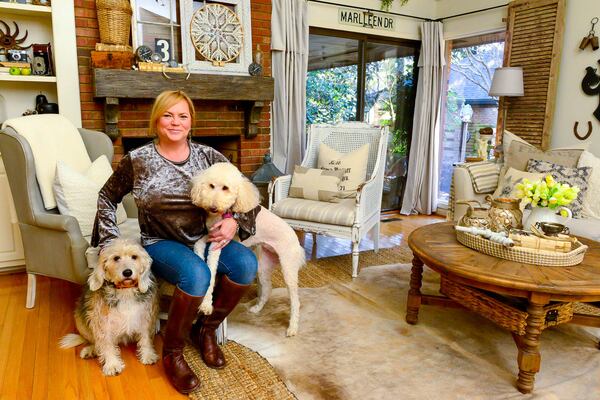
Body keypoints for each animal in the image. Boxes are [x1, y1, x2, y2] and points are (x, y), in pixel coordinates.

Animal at [59, 241, 159, 376]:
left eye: (134, 257)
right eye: (116, 258)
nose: (127, 272)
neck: (125, 291)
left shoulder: (144, 317)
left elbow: (145, 338)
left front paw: (147, 355)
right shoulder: (102, 322)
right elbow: (106, 344)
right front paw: (112, 364)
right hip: (80, 321)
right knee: (95, 342)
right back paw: (91, 350)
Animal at [192, 161, 304, 336]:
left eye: (225, 188)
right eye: (211, 185)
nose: (213, 207)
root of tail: (295, 240)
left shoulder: (218, 243)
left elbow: (211, 270)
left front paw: (206, 304)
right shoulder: (211, 235)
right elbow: (198, 245)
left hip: (288, 270)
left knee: (295, 301)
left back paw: (292, 328)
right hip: (263, 266)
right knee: (267, 290)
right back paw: (257, 308)